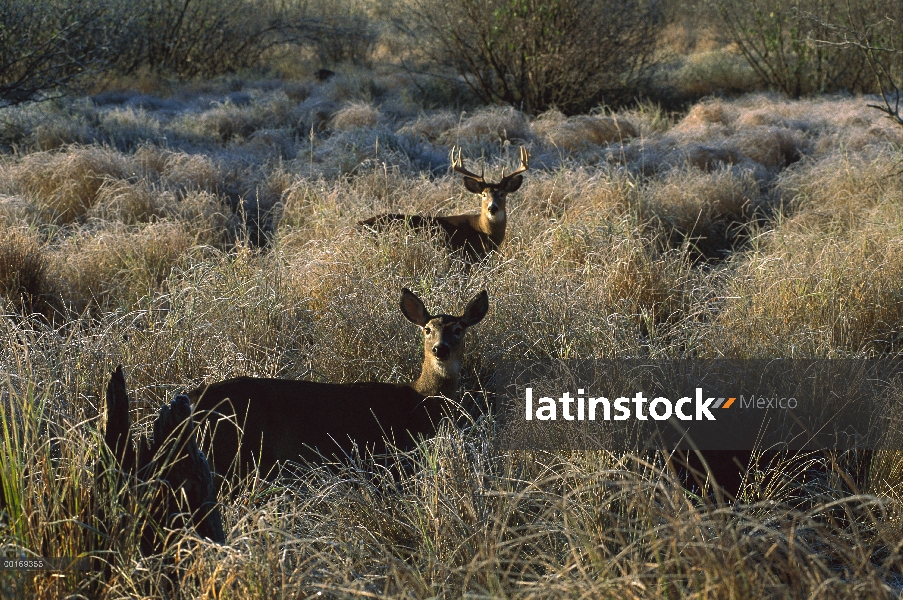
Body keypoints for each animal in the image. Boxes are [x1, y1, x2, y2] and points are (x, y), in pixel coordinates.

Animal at [186, 288, 490, 480]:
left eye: (459, 330)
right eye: (427, 330)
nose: (441, 349)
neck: (421, 400)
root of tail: (192, 399)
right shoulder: (390, 455)